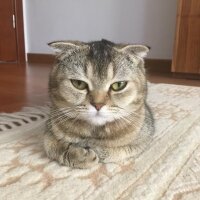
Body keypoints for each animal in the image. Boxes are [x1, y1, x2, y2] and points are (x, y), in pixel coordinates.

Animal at [44, 39, 155, 169]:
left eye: (119, 85)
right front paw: (78, 155)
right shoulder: (48, 129)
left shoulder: (143, 139)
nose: (98, 105)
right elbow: (51, 146)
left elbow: (117, 150)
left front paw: (93, 149)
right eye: (78, 84)